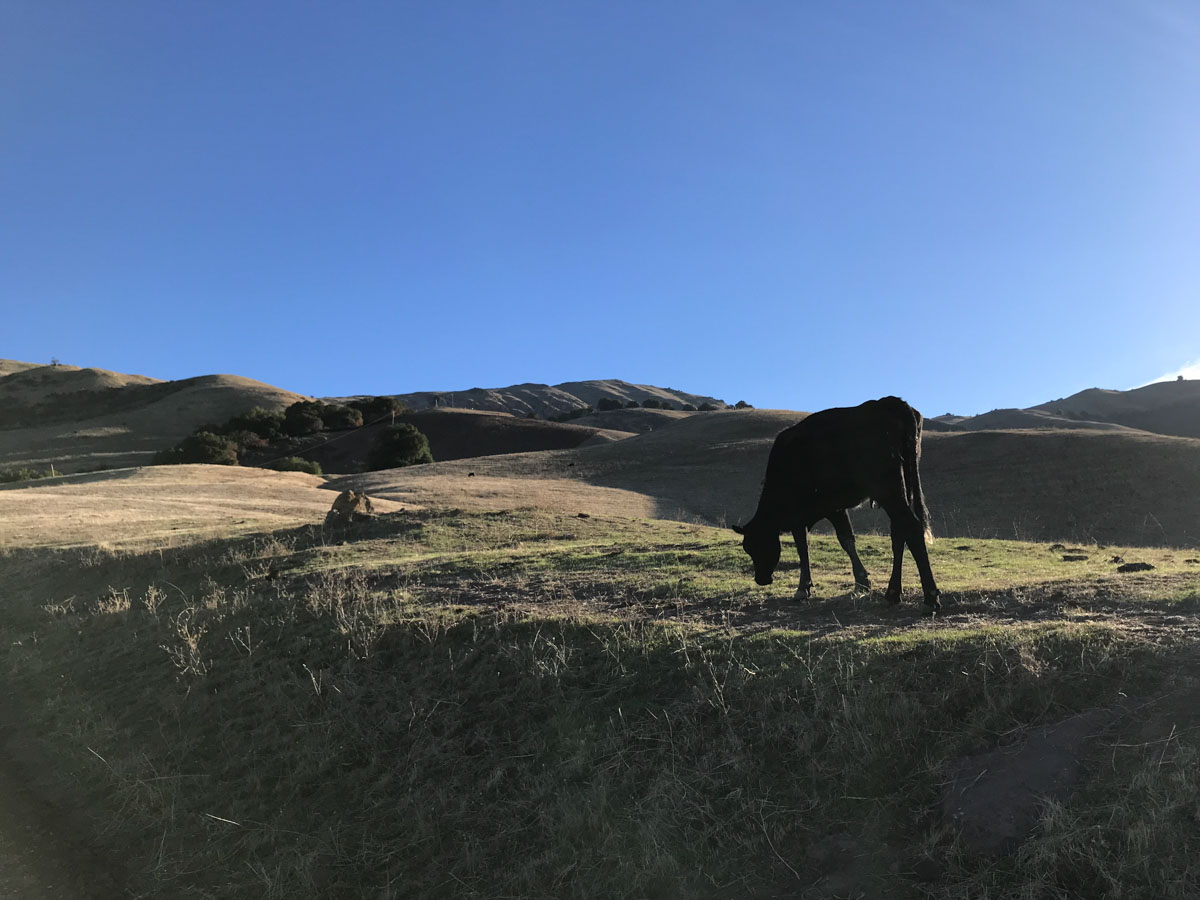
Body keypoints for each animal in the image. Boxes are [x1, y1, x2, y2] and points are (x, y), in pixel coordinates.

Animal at [732, 396, 941, 612]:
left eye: (757, 545)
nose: (761, 579)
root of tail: (888, 402)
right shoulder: (835, 508)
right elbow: (845, 540)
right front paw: (861, 582)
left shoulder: (806, 514)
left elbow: (805, 547)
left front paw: (803, 588)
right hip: (901, 488)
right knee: (900, 533)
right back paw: (893, 593)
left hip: (888, 490)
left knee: (911, 527)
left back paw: (930, 596)